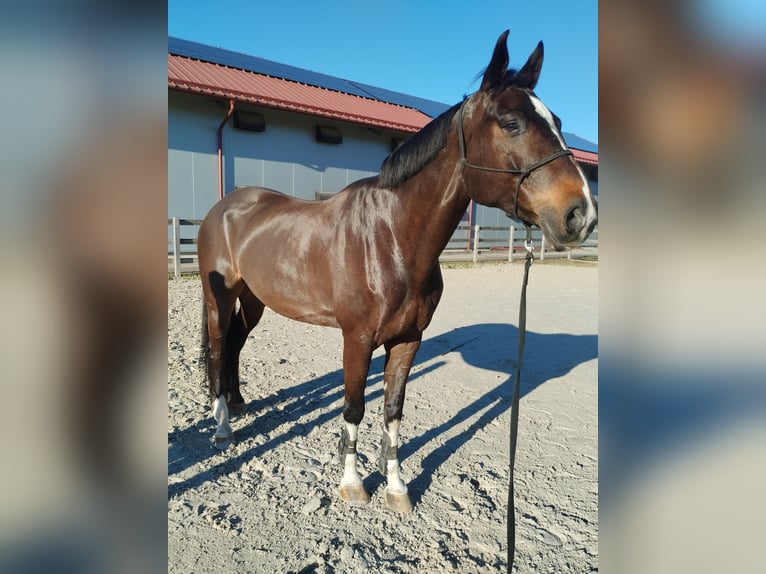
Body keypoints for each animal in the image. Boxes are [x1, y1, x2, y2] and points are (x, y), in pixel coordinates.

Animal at [197, 30, 597, 513]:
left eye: (556, 120)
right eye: (511, 123)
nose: (581, 214)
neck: (390, 239)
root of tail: (224, 207)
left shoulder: (408, 340)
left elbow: (392, 411)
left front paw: (396, 488)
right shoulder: (357, 340)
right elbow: (353, 408)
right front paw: (352, 485)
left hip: (254, 299)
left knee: (236, 343)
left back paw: (239, 405)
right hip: (219, 296)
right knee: (219, 348)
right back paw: (222, 427)